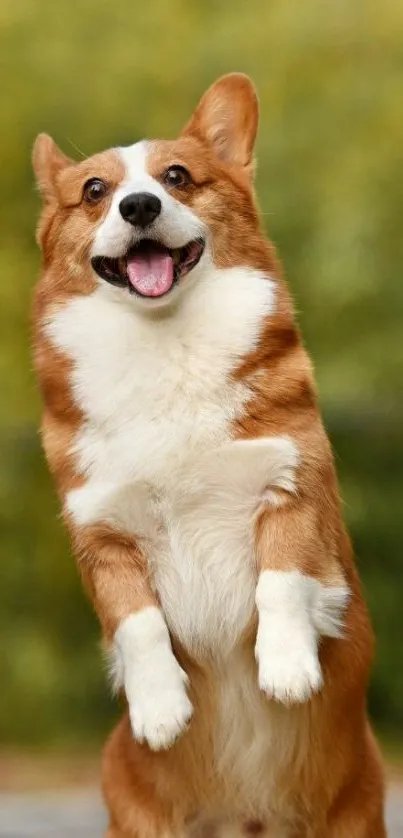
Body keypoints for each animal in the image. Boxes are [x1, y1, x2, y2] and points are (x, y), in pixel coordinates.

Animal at [33, 75, 386, 836]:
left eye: (177, 178)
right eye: (95, 190)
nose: (139, 205)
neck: (164, 343)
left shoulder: (293, 484)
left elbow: (281, 577)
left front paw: (286, 668)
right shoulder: (101, 536)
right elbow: (136, 622)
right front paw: (161, 710)